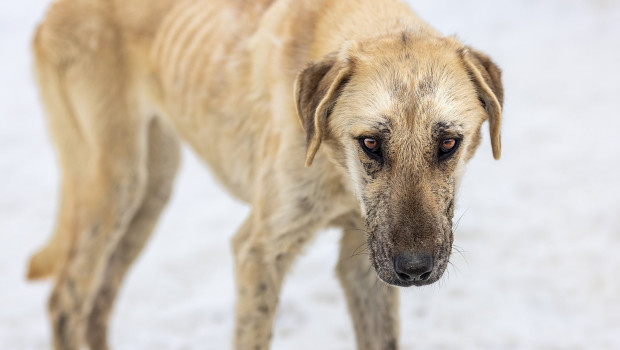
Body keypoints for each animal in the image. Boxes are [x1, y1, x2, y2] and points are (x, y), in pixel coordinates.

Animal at [27, 0, 504, 348]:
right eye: (370, 142)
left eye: (448, 143)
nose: (415, 270)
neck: (336, 172)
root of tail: (51, 11)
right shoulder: (258, 251)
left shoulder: (365, 261)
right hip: (114, 184)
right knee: (66, 301)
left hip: (150, 193)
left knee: (97, 302)